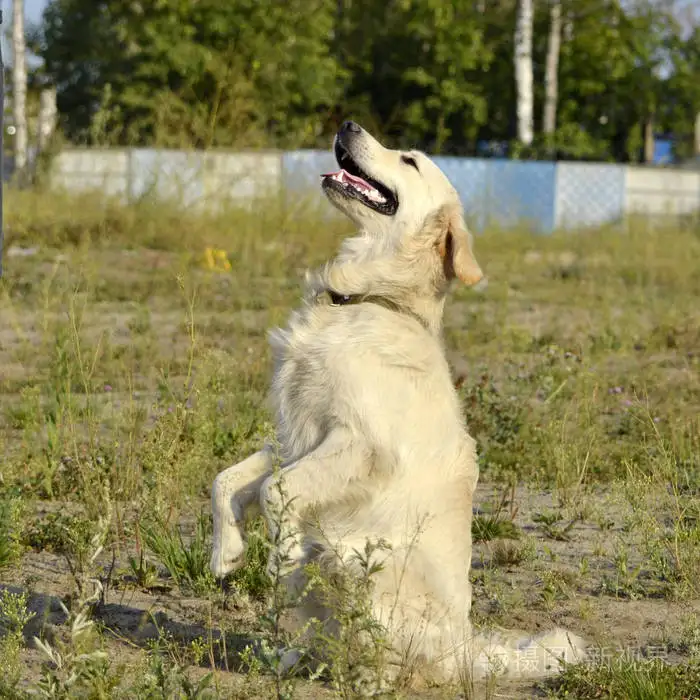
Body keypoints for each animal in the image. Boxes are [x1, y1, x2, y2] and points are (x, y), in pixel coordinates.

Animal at [206, 119, 584, 684]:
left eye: (409, 160)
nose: (347, 124)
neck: (365, 298)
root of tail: (467, 654)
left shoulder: (358, 442)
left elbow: (277, 490)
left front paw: (282, 550)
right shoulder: (296, 435)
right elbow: (227, 479)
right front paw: (226, 552)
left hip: (360, 567)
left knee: (388, 661)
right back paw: (289, 659)